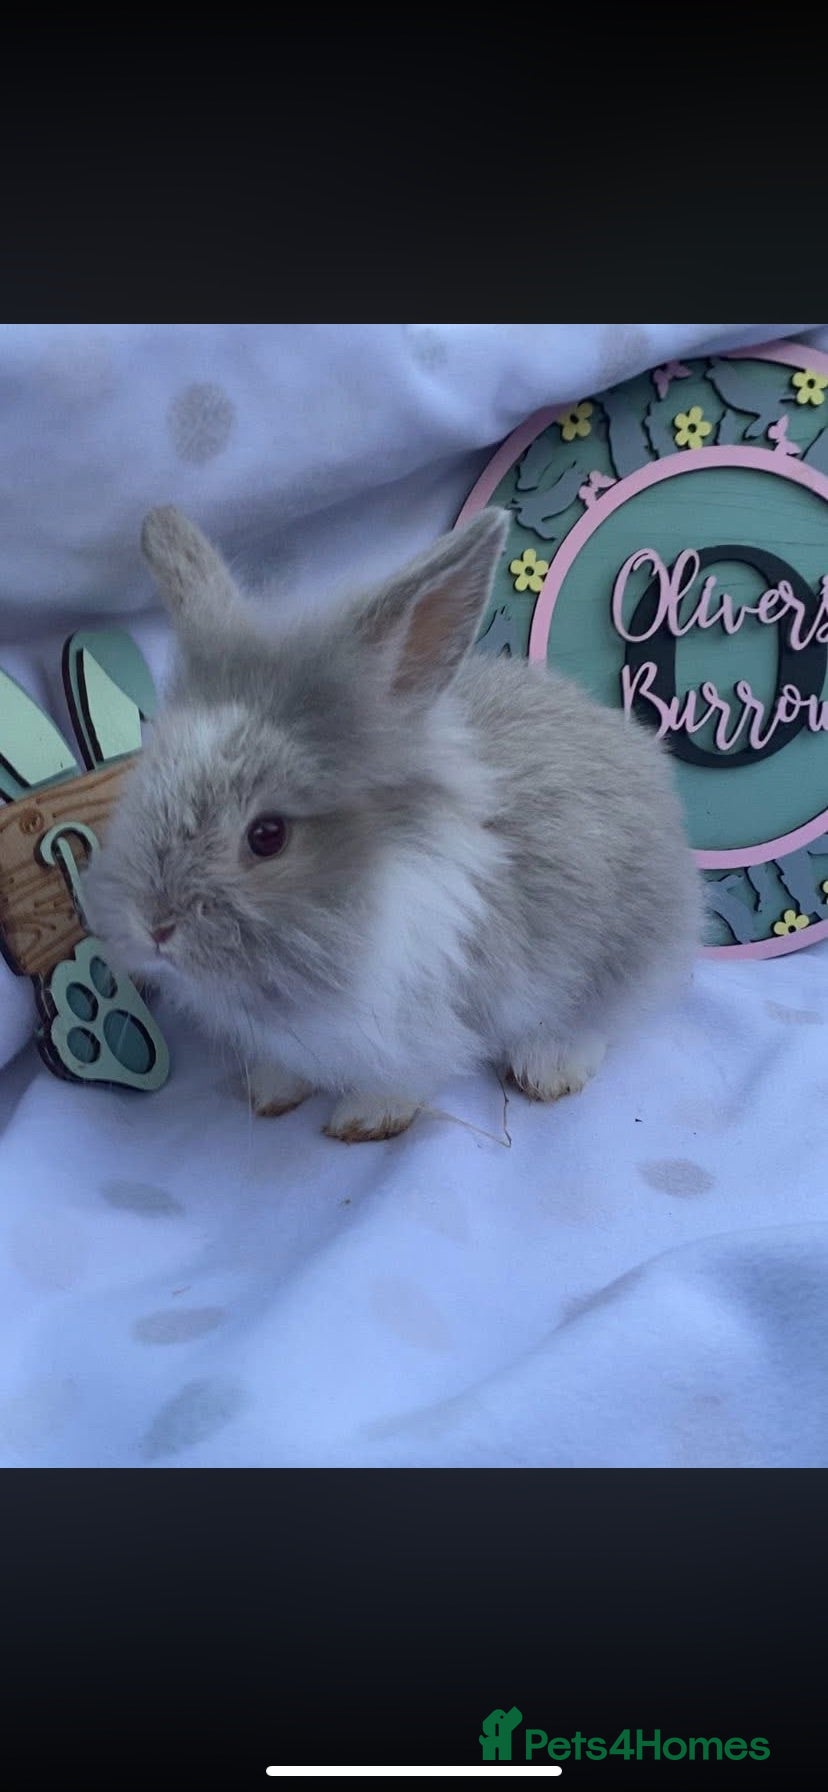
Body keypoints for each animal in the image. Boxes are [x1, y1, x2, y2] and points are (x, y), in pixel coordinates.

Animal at [82, 504, 701, 1142]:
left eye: (267, 836)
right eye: (142, 784)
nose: (153, 927)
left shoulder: (420, 1024)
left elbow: (404, 1076)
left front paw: (362, 1121)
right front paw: (271, 1095)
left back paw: (547, 1068)